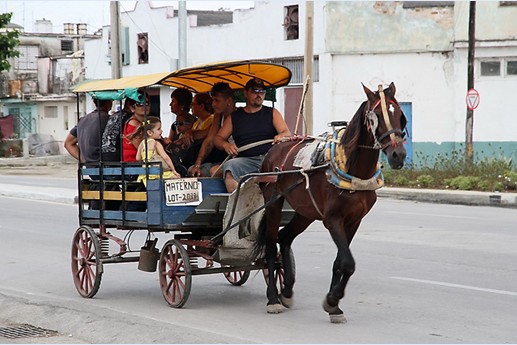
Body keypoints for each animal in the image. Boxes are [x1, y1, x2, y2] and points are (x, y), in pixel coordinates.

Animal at [252, 82, 406, 322]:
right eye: (377, 116)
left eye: (399, 115)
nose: (398, 155)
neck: (353, 170)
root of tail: (275, 148)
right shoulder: (333, 220)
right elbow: (348, 263)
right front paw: (332, 299)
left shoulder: (354, 221)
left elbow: (340, 262)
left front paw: (334, 305)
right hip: (273, 202)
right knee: (270, 244)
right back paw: (274, 298)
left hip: (305, 211)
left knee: (284, 237)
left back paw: (287, 290)